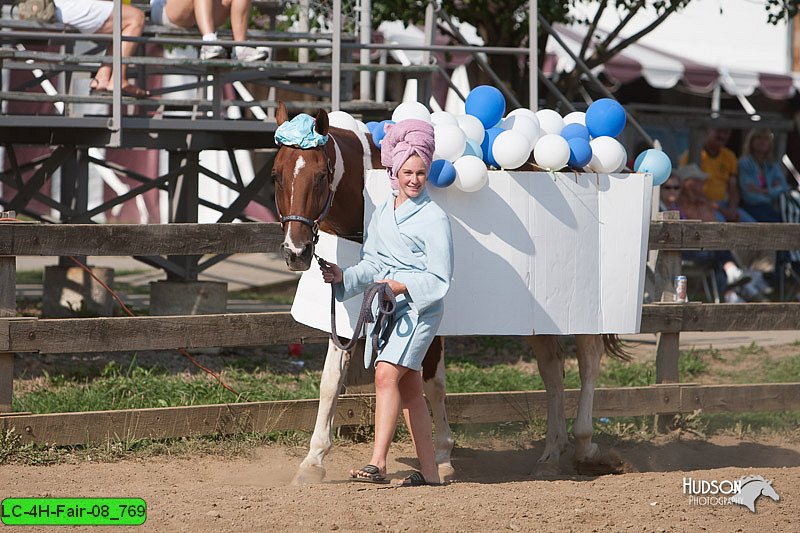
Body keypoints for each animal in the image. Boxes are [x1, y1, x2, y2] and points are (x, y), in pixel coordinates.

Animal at [272, 101, 628, 482]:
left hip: (582, 312)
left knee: (589, 360)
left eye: (321, 176)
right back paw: (550, 454)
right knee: (552, 367)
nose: (296, 252)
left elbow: (432, 383)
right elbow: (331, 380)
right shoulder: (349, 316)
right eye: (276, 175)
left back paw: (585, 445)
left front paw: (441, 456)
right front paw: (313, 462)